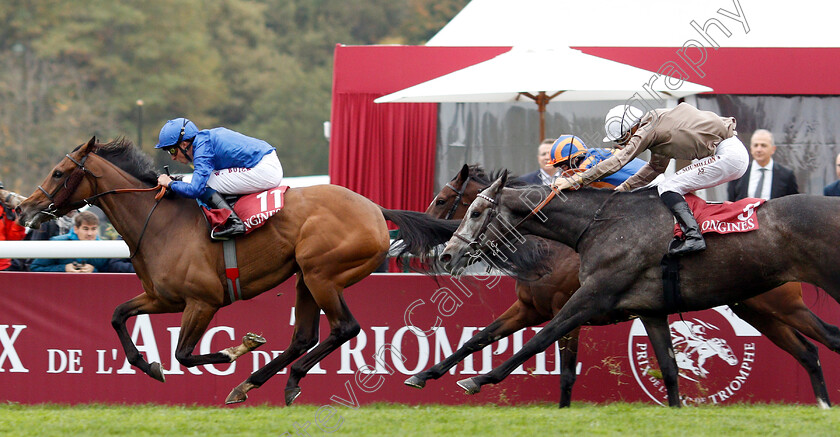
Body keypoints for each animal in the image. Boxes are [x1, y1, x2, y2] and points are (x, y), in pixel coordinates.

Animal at [13, 137, 452, 406]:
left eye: (57, 172)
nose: (22, 208)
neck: (159, 223)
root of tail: (376, 210)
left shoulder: (202, 301)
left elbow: (185, 353)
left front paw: (234, 348)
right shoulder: (162, 297)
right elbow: (118, 315)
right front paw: (149, 366)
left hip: (322, 274)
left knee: (345, 328)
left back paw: (276, 378)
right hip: (306, 278)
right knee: (304, 336)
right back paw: (256, 384)